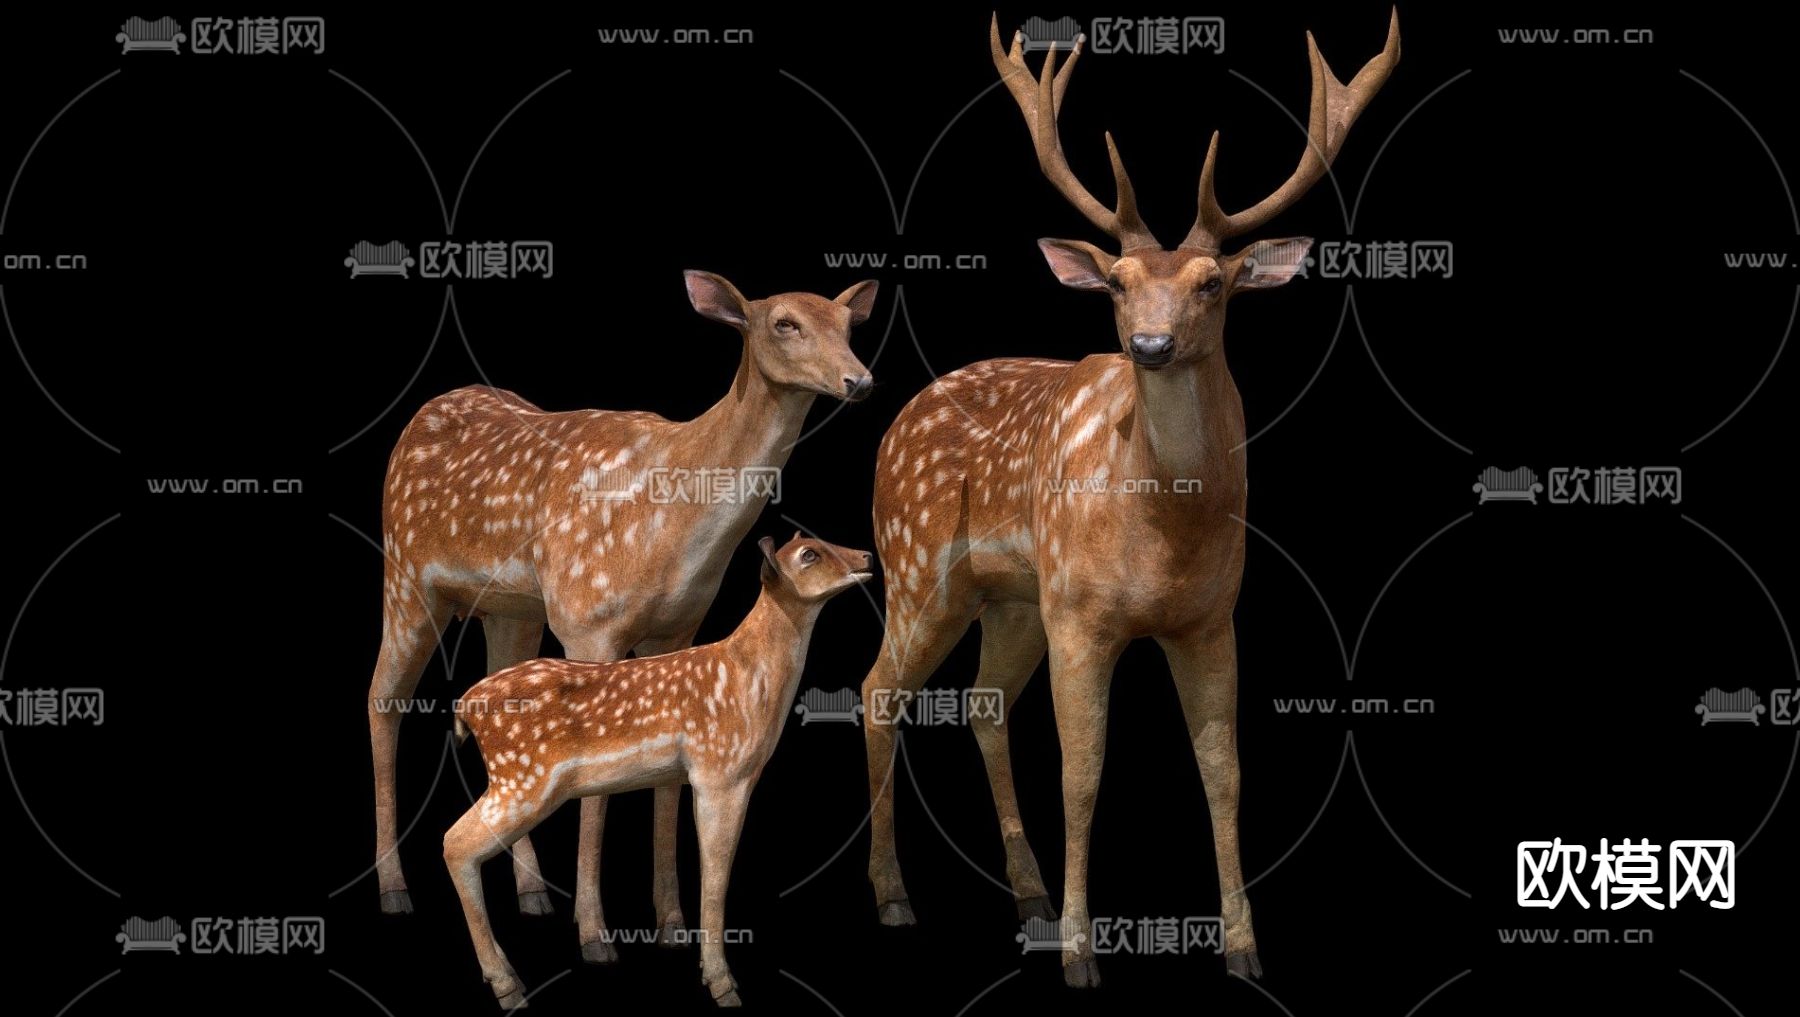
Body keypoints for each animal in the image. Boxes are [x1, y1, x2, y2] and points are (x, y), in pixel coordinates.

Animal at [446, 534, 875, 1009]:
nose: (866, 557)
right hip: (523, 775)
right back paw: (507, 985)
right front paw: (723, 984)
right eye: (809, 555)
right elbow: (715, 873)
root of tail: (465, 709)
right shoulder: (719, 770)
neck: (749, 679)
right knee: (456, 843)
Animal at [858, 12, 1399, 987]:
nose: (1148, 343)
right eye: (1116, 282)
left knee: (984, 701)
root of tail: (896, 422)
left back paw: (1028, 895)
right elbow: (1082, 770)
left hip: (1012, 595)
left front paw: (1242, 945)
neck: (1162, 534)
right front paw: (1082, 954)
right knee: (879, 687)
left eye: (1213, 283)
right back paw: (893, 894)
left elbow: (1223, 769)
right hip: (917, 562)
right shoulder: (1084, 613)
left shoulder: (1212, 615)